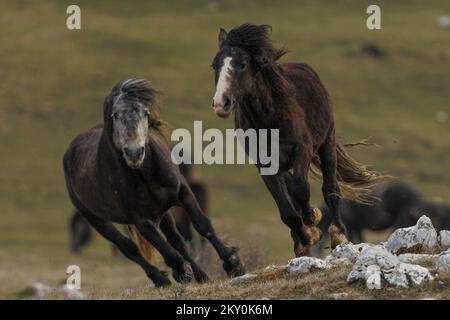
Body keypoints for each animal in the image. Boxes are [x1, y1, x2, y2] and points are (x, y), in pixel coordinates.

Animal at [211, 23, 390, 256]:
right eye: (215, 65)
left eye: (242, 65)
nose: (220, 103)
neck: (269, 118)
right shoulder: (264, 165)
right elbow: (287, 211)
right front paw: (306, 239)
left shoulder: (302, 149)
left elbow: (301, 189)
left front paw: (313, 221)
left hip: (327, 143)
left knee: (330, 189)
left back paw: (338, 234)